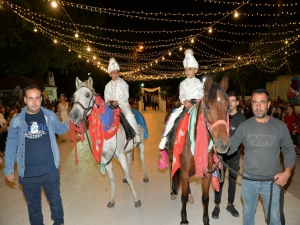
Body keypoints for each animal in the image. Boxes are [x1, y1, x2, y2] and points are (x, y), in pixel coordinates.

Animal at [68, 77, 148, 207]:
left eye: (87, 95)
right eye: (74, 95)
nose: (73, 116)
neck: (107, 127)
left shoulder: (120, 155)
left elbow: (129, 176)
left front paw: (136, 199)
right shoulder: (106, 158)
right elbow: (111, 179)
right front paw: (112, 199)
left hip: (140, 144)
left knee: (142, 157)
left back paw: (145, 176)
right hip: (128, 148)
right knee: (129, 159)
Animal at [168, 75, 229, 225]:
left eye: (227, 106)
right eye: (207, 106)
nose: (223, 144)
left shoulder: (207, 174)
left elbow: (205, 198)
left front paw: (206, 220)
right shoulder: (184, 172)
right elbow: (183, 196)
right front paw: (184, 218)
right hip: (172, 159)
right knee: (172, 172)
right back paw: (172, 191)